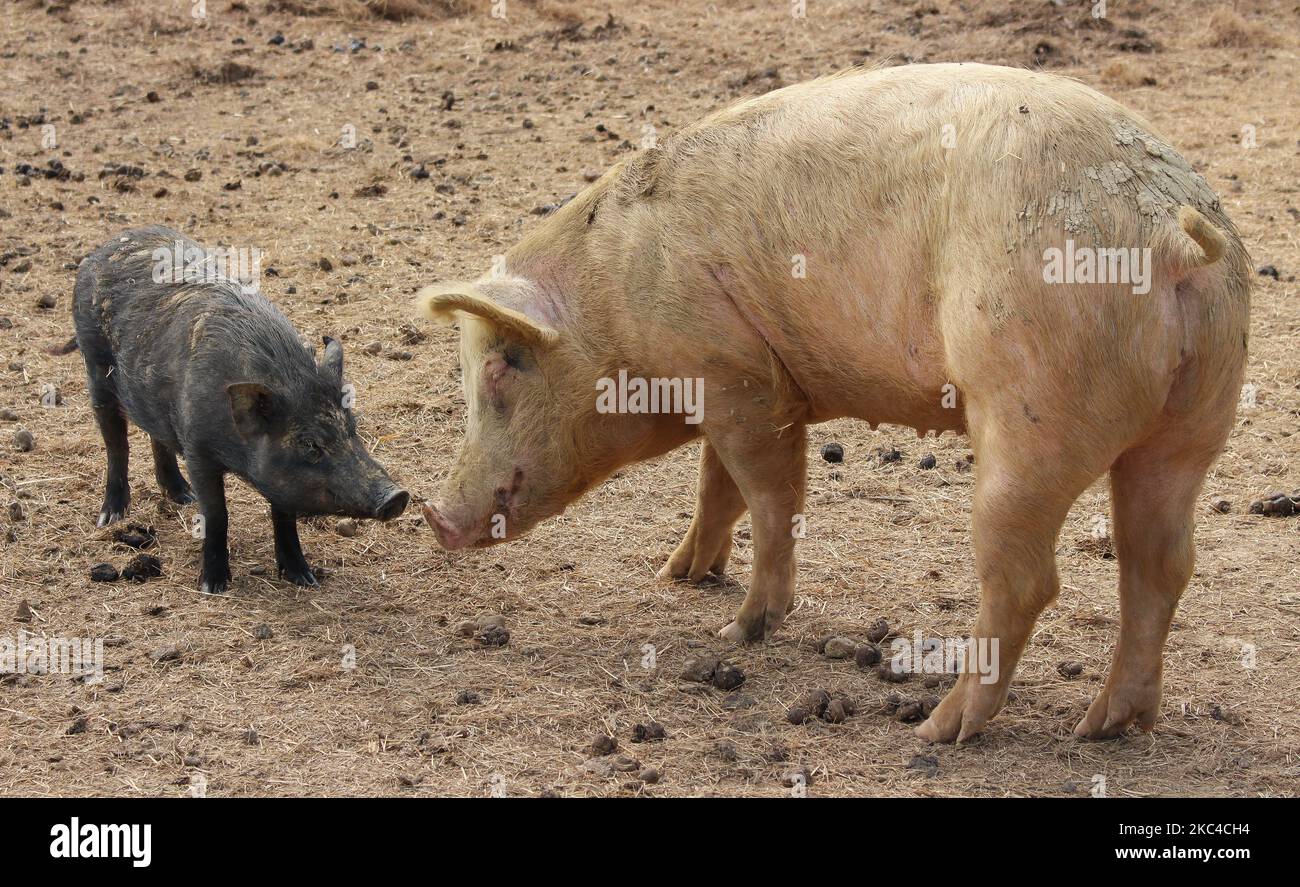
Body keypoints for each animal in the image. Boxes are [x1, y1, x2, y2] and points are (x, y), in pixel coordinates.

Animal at [65, 226, 409, 593]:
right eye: (310, 444)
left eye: (351, 428)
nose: (397, 496)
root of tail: (105, 246)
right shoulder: (198, 450)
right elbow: (217, 514)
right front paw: (212, 587)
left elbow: (284, 516)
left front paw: (305, 579)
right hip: (95, 368)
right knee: (116, 444)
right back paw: (110, 518)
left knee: (156, 436)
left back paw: (182, 496)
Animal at [415, 63, 1251, 743]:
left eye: (501, 366)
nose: (436, 516)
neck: (611, 299)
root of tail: (1173, 232)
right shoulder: (723, 382)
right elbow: (716, 487)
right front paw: (676, 575)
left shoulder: (740, 378)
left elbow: (769, 494)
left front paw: (739, 629)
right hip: (1193, 423)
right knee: (1161, 563)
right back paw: (1106, 725)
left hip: (1031, 416)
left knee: (1029, 579)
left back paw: (939, 730)